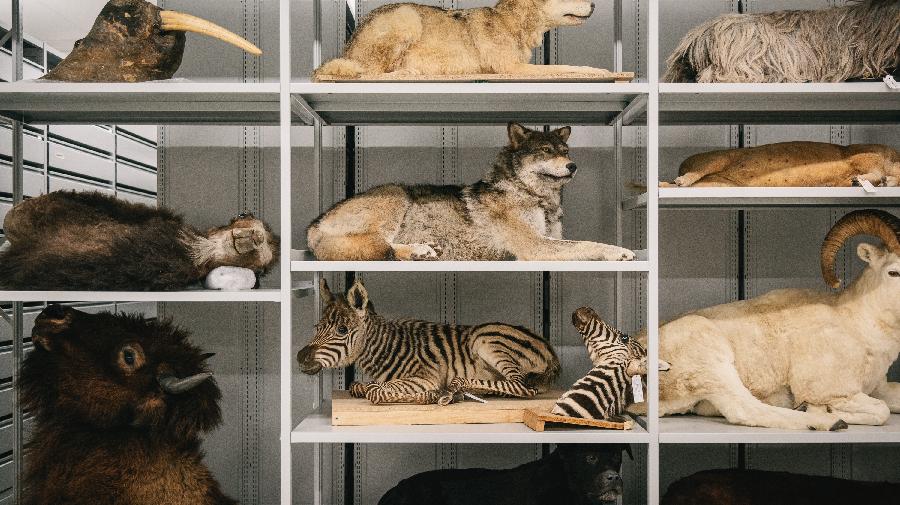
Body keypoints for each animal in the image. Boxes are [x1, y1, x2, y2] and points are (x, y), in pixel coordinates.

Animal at [297, 278, 561, 405]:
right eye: (317, 328)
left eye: (342, 329)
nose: (300, 357)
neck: (386, 349)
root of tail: (549, 350)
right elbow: (358, 386)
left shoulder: (424, 377)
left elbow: (375, 392)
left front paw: (432, 395)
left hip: (485, 339)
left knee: (522, 386)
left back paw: (455, 388)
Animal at [307, 123, 635, 261]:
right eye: (545, 151)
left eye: (565, 151)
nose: (573, 165)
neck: (533, 196)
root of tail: (315, 223)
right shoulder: (536, 247)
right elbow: (589, 243)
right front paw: (619, 251)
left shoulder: (550, 239)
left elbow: (581, 242)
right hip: (395, 196)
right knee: (383, 246)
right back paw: (418, 250)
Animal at [313, 0, 607, 80]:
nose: (594, 4)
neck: (512, 22)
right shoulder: (513, 69)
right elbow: (570, 67)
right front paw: (602, 71)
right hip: (408, 17)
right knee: (370, 72)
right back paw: (408, 71)